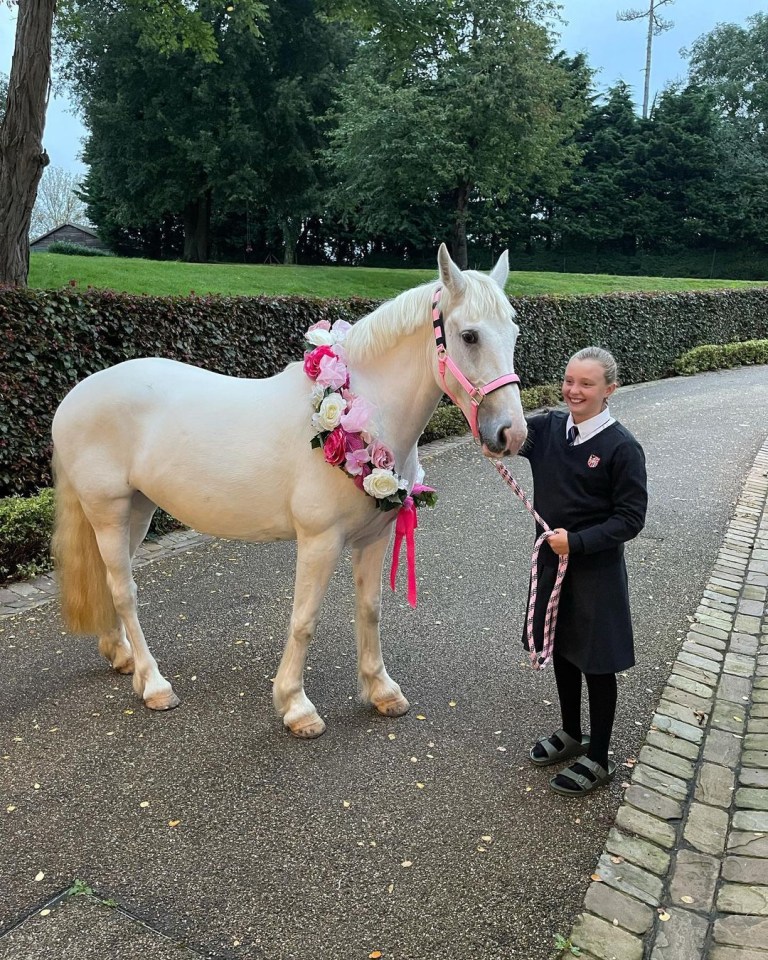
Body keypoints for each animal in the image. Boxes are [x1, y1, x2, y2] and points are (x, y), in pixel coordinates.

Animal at [49, 244, 528, 740]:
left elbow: (370, 609)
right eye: (469, 336)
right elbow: (304, 619)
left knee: (112, 583)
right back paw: (155, 684)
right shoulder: (319, 541)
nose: (511, 434)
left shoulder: (374, 537)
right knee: (124, 591)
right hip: (109, 511)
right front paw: (296, 706)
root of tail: (75, 396)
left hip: (138, 511)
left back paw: (123, 657)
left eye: (513, 331)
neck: (363, 410)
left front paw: (381, 690)